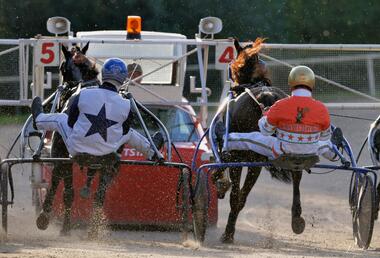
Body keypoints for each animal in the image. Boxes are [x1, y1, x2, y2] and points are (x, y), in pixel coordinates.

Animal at [214, 37, 306, 243]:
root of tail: (267, 97)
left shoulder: (234, 155)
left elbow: (223, 174)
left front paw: (221, 185)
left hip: (243, 157)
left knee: (237, 197)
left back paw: (228, 233)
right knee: (297, 178)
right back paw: (296, 219)